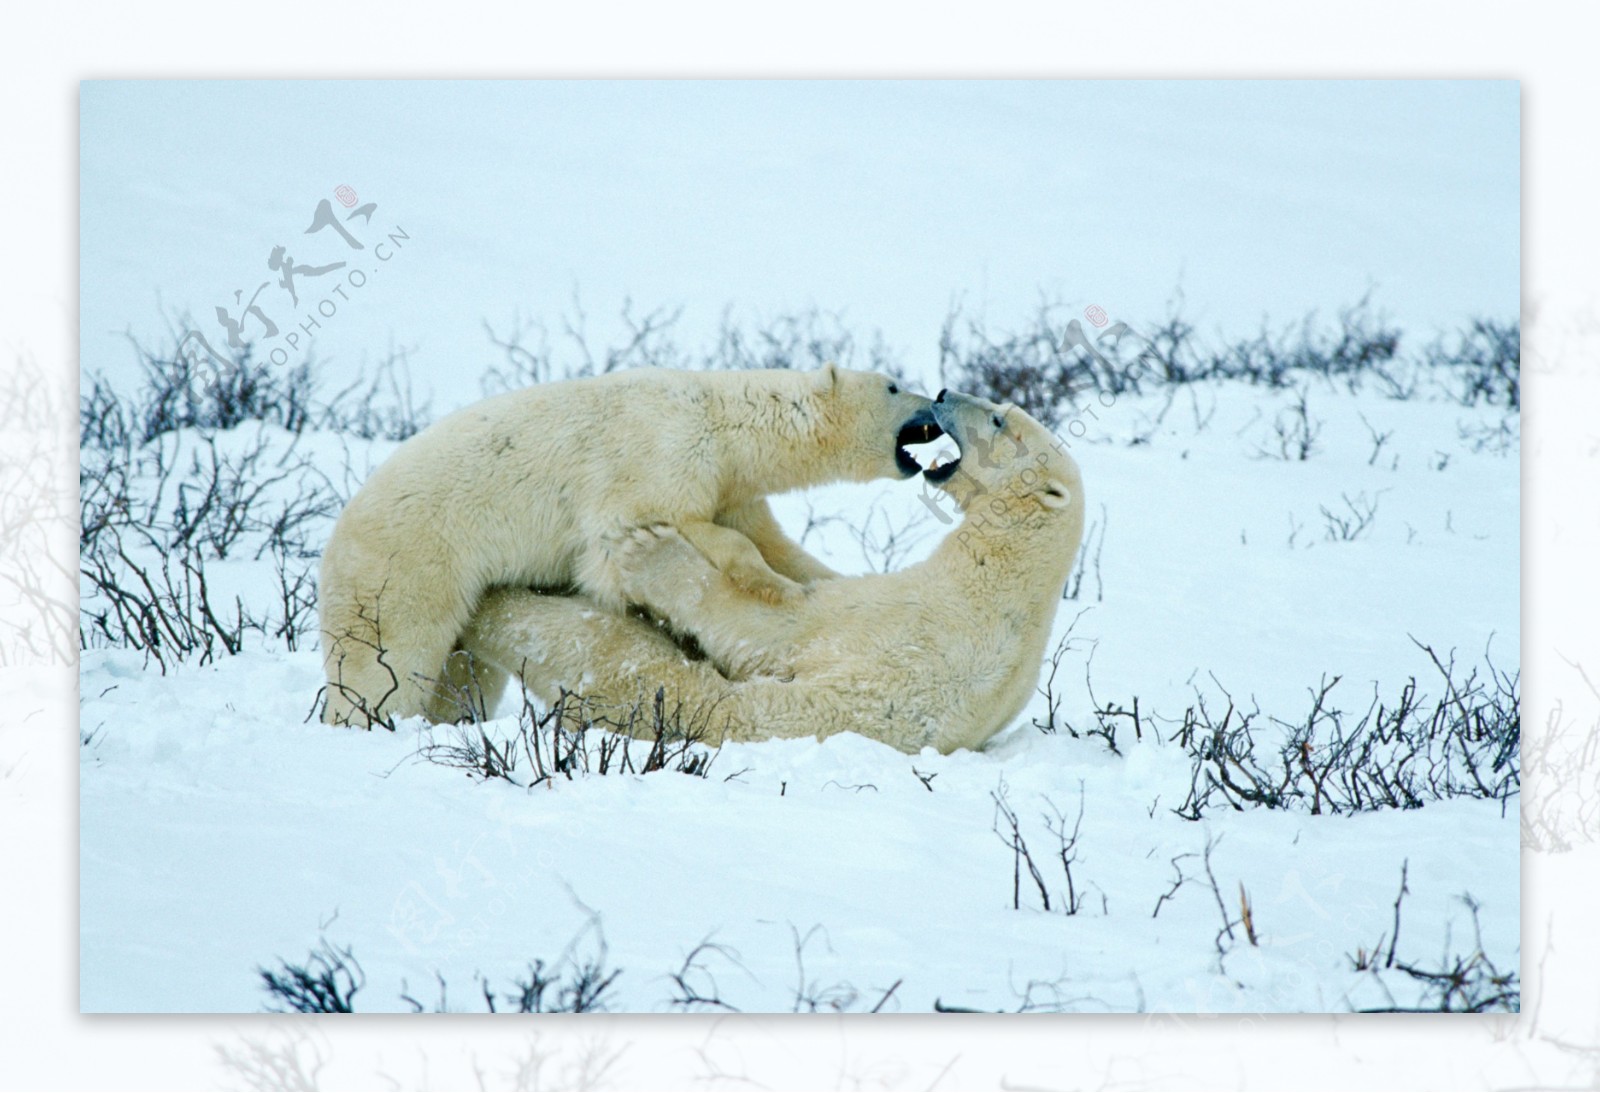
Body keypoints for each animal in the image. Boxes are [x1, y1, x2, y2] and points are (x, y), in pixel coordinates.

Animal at [315, 363, 934, 729]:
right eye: (893, 385)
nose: (934, 403)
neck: (726, 420)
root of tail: (337, 531)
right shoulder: (660, 453)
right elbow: (630, 536)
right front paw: (769, 585)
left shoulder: (730, 487)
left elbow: (773, 541)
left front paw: (808, 583)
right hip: (412, 559)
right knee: (388, 656)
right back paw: (369, 718)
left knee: (465, 674)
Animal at [457, 388, 1094, 755]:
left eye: (1000, 419)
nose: (942, 392)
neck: (1001, 576)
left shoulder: (902, 628)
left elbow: (773, 631)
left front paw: (650, 551)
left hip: (704, 710)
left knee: (610, 654)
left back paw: (500, 605)